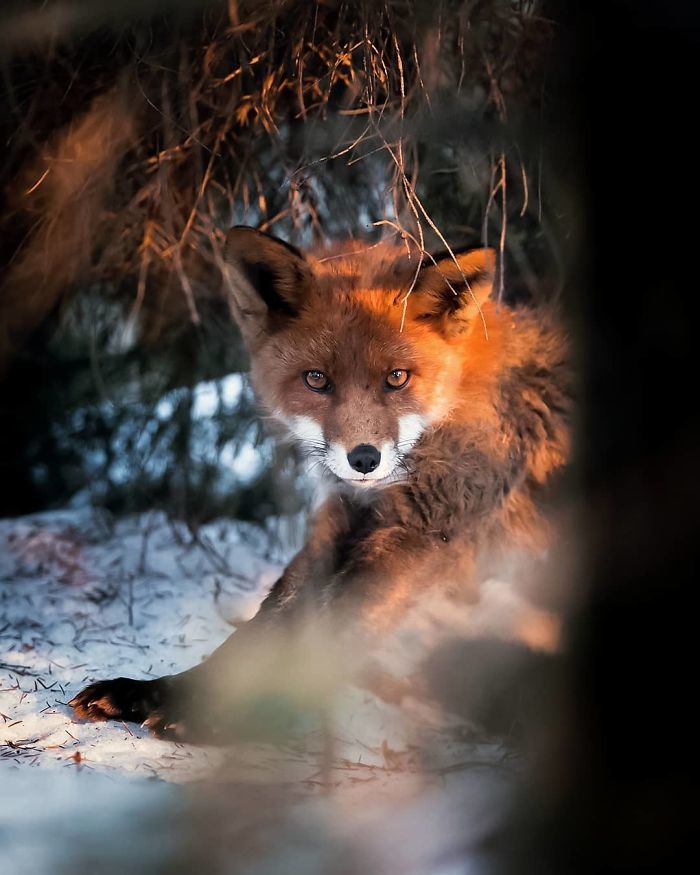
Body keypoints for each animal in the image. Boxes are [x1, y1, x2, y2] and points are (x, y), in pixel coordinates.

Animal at [71, 226, 572, 740]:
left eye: (397, 378)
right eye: (316, 379)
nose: (364, 459)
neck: (456, 409)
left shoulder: (424, 533)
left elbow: (322, 631)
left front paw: (209, 712)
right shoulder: (343, 520)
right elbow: (265, 625)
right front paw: (156, 692)